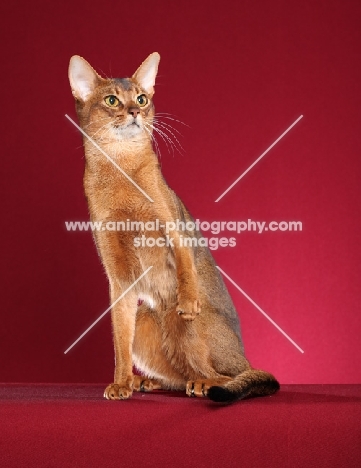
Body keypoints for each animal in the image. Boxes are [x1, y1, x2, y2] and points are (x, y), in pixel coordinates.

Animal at [69, 52, 280, 402]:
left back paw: (205, 384)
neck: (121, 170)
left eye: (142, 98)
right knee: (181, 375)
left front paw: (189, 299)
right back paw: (145, 382)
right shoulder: (118, 274)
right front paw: (120, 382)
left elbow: (184, 265)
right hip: (146, 318)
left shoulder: (173, 227)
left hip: (187, 325)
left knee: (223, 375)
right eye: (112, 100)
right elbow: (119, 339)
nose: (135, 111)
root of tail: (244, 357)